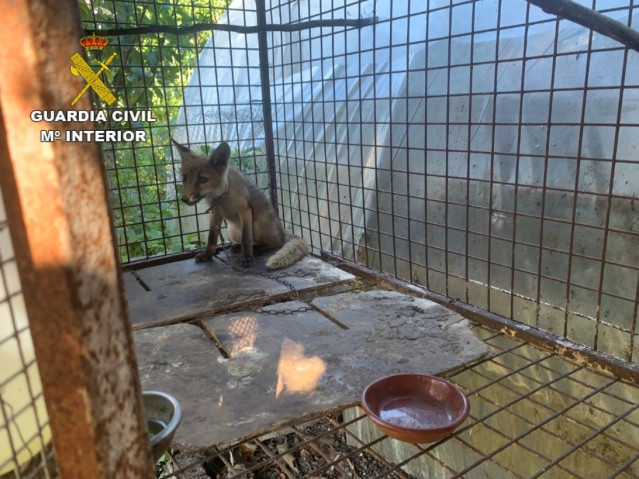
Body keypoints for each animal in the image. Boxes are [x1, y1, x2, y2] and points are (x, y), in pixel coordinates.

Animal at [171, 139, 308, 270]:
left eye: (202, 179)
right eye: (184, 178)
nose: (184, 199)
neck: (222, 197)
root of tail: (282, 231)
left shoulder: (245, 210)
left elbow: (246, 239)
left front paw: (247, 257)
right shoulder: (215, 213)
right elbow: (212, 238)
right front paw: (207, 255)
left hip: (258, 226)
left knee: (274, 243)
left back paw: (254, 249)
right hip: (232, 231)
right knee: (253, 241)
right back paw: (238, 247)